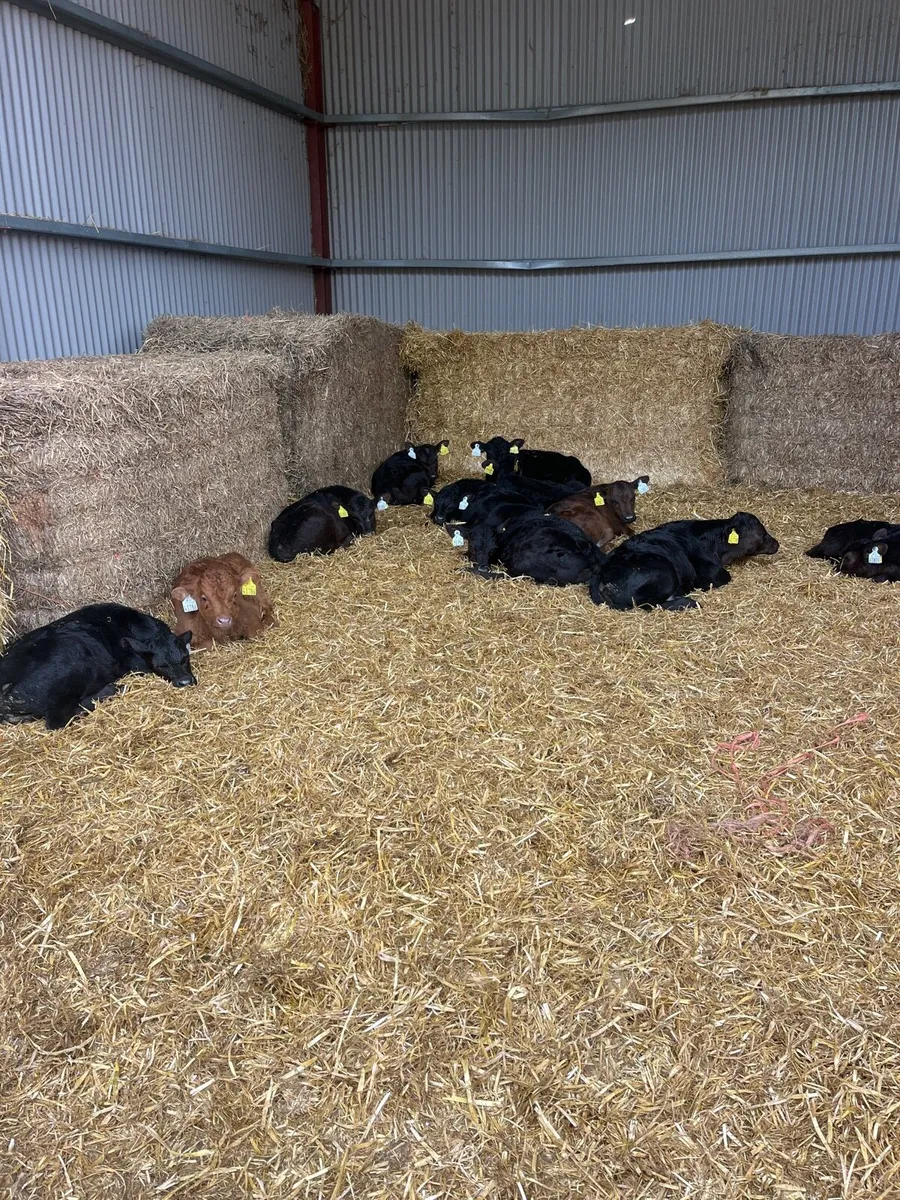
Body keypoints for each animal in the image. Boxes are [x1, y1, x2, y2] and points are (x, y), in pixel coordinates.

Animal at [0, 603, 195, 730]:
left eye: (185, 658)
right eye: (160, 665)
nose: (185, 681)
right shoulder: (136, 665)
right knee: (57, 720)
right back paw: (112, 689)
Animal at [590, 513, 779, 611]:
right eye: (761, 533)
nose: (777, 543)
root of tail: (601, 571)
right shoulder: (713, 573)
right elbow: (723, 578)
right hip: (663, 571)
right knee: (651, 604)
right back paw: (689, 601)